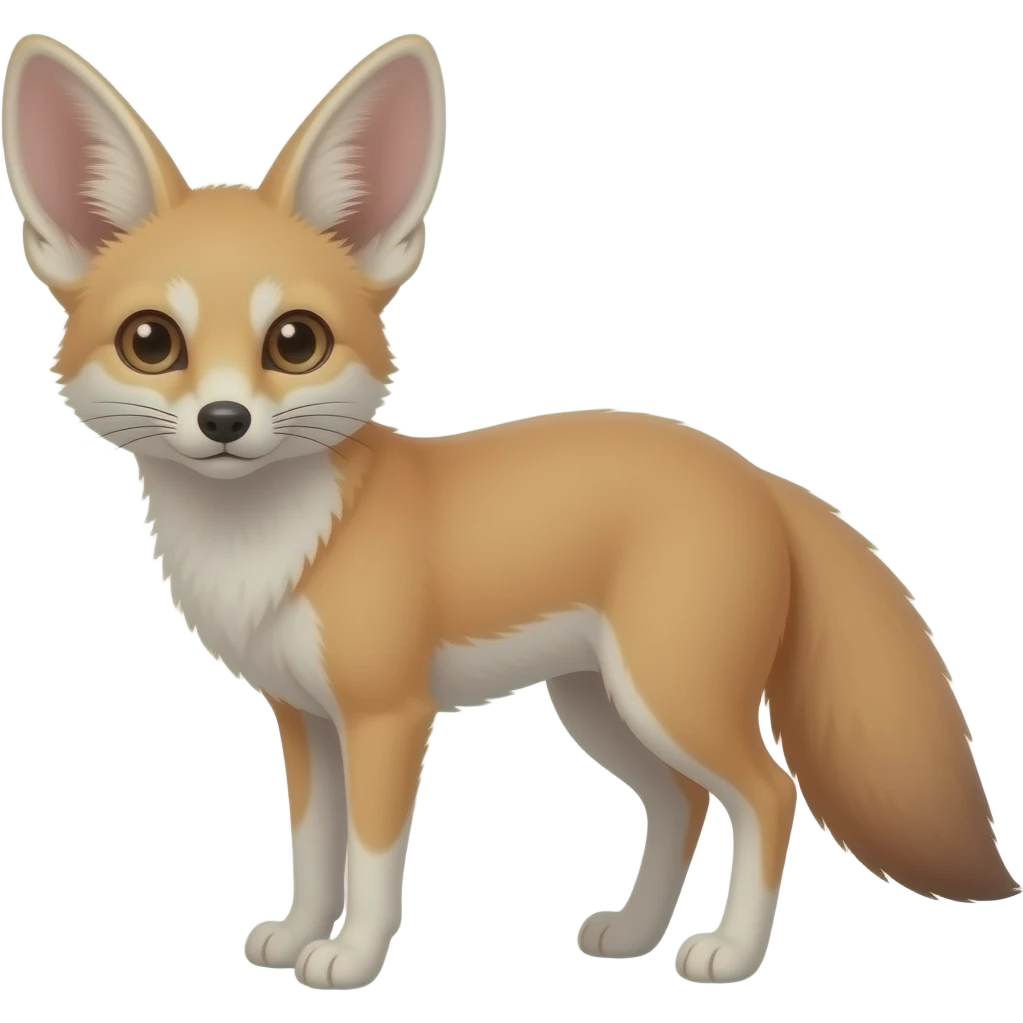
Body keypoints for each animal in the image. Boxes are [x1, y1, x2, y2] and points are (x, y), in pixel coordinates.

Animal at [3, 30, 1018, 991]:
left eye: (295, 341)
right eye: (151, 341)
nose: (223, 421)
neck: (273, 545)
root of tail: (750, 470)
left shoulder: (387, 715)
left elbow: (372, 859)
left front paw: (352, 956)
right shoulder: (305, 719)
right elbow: (312, 848)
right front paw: (295, 934)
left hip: (669, 697)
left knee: (768, 792)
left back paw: (728, 953)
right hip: (599, 705)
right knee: (680, 802)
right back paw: (634, 933)